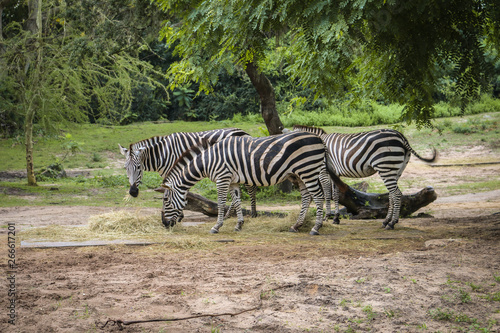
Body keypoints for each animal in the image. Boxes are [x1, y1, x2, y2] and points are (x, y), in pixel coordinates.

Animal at [117, 127, 258, 226]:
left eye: (139, 168)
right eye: (125, 168)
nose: (133, 192)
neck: (163, 153)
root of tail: (245, 132)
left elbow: (178, 193)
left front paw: (179, 216)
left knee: (250, 188)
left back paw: (253, 213)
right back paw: (229, 215)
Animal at [161, 131, 348, 235]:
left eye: (165, 200)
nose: (164, 224)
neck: (209, 160)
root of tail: (319, 139)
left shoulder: (222, 178)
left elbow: (221, 203)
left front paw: (216, 226)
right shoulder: (233, 181)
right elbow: (237, 201)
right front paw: (239, 225)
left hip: (308, 169)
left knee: (318, 196)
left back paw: (316, 227)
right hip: (299, 174)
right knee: (306, 197)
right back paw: (296, 225)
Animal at [294, 124, 436, 228]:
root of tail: (401, 136)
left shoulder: (324, 171)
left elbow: (327, 193)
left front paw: (327, 216)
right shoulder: (334, 172)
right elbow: (336, 193)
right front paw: (336, 218)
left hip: (385, 166)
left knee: (396, 194)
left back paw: (391, 223)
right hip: (396, 169)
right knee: (392, 194)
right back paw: (386, 221)